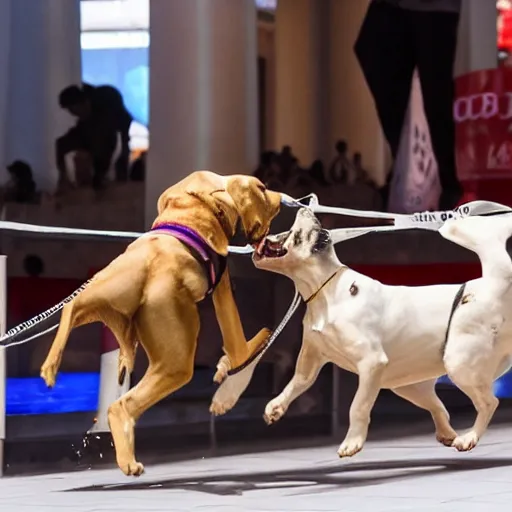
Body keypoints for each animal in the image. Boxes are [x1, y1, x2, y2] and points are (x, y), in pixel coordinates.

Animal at [39, 171, 280, 476]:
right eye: (262, 188)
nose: (279, 197)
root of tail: (150, 272)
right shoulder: (222, 281)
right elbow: (235, 339)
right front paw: (242, 355)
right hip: (176, 349)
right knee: (127, 401)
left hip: (107, 287)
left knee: (71, 307)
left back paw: (52, 365)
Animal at [249, 210, 512, 458]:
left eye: (303, 231)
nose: (306, 208)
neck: (325, 287)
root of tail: (494, 285)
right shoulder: (311, 360)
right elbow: (296, 383)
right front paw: (276, 407)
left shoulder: (371, 363)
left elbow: (358, 406)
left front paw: (352, 443)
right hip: (408, 385)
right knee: (440, 407)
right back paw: (448, 434)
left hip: (458, 364)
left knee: (489, 402)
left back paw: (469, 437)